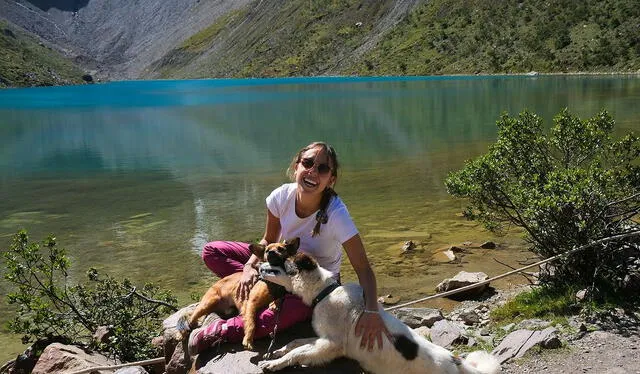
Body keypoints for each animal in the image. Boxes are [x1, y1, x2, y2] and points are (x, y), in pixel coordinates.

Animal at [258, 251, 502, 374]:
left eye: (279, 260)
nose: (259, 264)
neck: (324, 291)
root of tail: (457, 362)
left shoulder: (330, 345)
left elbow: (298, 353)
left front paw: (275, 364)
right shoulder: (322, 339)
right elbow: (295, 343)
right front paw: (277, 351)